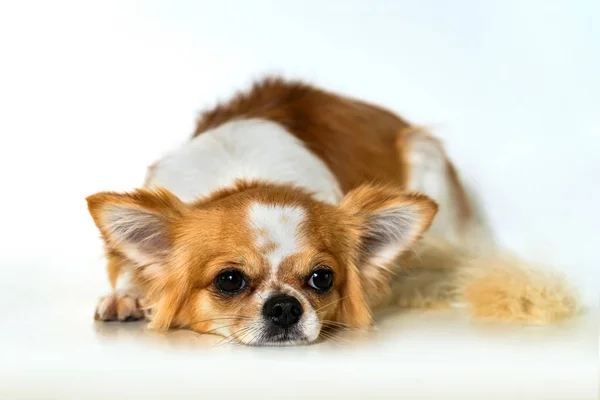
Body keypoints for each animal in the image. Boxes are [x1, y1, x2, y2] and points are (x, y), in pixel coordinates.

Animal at [86, 76, 580, 346]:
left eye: (321, 279)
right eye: (229, 280)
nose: (284, 307)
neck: (246, 173)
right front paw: (128, 294)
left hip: (427, 158)